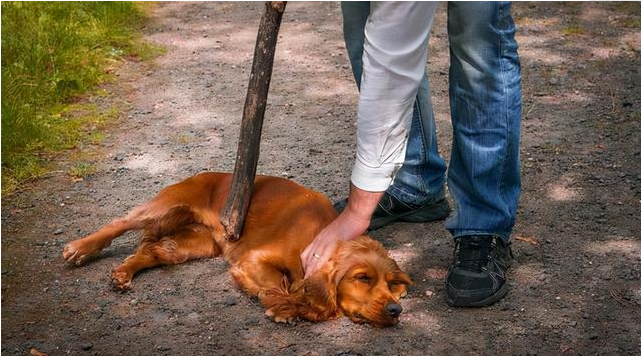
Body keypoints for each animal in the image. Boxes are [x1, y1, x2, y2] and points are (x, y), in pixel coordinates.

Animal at [63, 174, 410, 326]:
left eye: (391, 284)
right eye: (362, 278)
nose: (397, 311)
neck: (320, 234)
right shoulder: (252, 259)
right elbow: (280, 286)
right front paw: (287, 307)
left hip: (195, 244)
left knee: (155, 252)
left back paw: (123, 273)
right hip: (167, 204)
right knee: (120, 222)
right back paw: (80, 248)